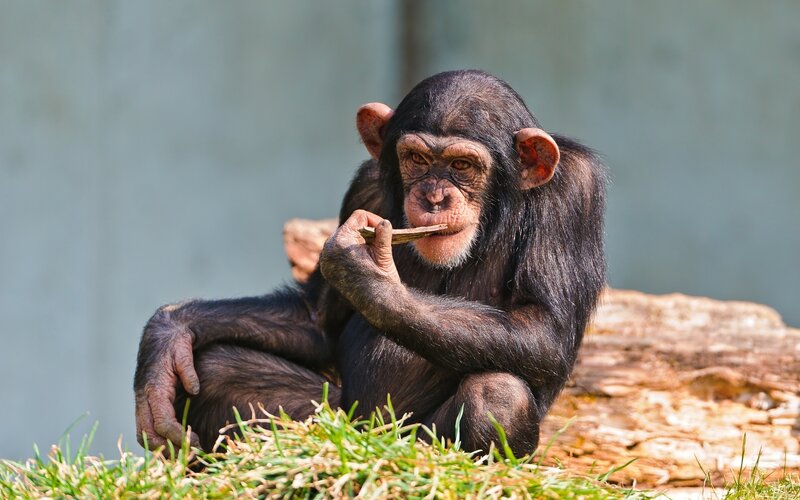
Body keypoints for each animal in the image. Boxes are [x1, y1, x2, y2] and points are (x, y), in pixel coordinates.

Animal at [134, 69, 606, 456]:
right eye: (417, 159)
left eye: (462, 164)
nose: (434, 197)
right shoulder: (364, 189)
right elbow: (316, 319)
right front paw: (168, 334)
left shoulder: (574, 193)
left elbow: (542, 327)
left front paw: (366, 275)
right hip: (340, 418)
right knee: (215, 369)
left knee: (498, 394)